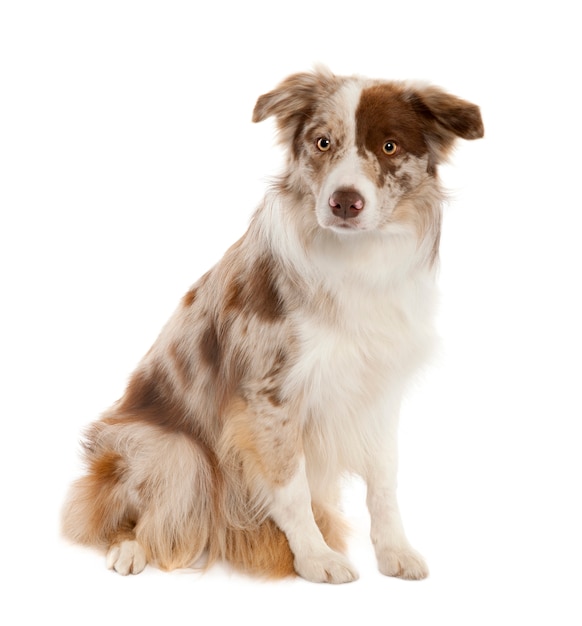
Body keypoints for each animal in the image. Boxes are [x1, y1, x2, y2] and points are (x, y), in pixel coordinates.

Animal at [62, 67, 484, 580]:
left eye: (389, 146)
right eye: (323, 142)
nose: (345, 202)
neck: (355, 260)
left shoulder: (378, 388)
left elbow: (384, 481)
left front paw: (394, 551)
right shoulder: (269, 396)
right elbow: (291, 486)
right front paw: (316, 557)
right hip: (172, 449)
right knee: (116, 510)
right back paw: (129, 548)